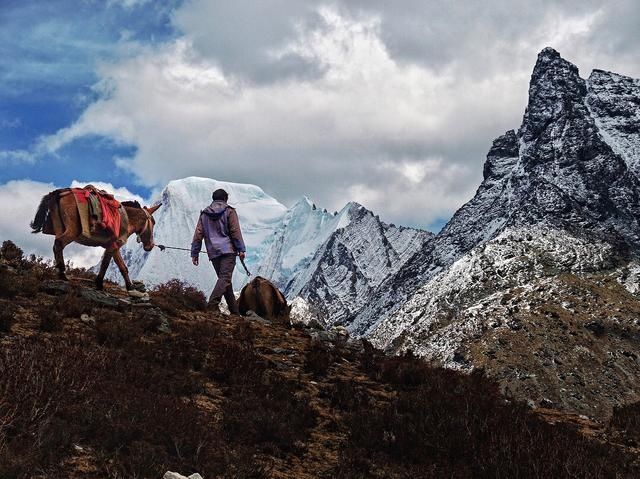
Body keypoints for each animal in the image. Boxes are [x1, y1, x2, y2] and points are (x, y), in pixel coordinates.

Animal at [30, 189, 161, 290]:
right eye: (153, 222)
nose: (150, 246)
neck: (127, 219)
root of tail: (59, 193)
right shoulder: (113, 245)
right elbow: (105, 264)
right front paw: (99, 284)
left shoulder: (114, 247)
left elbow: (123, 267)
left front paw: (130, 286)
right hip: (73, 230)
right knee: (59, 244)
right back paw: (62, 274)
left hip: (59, 228)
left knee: (57, 246)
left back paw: (59, 272)